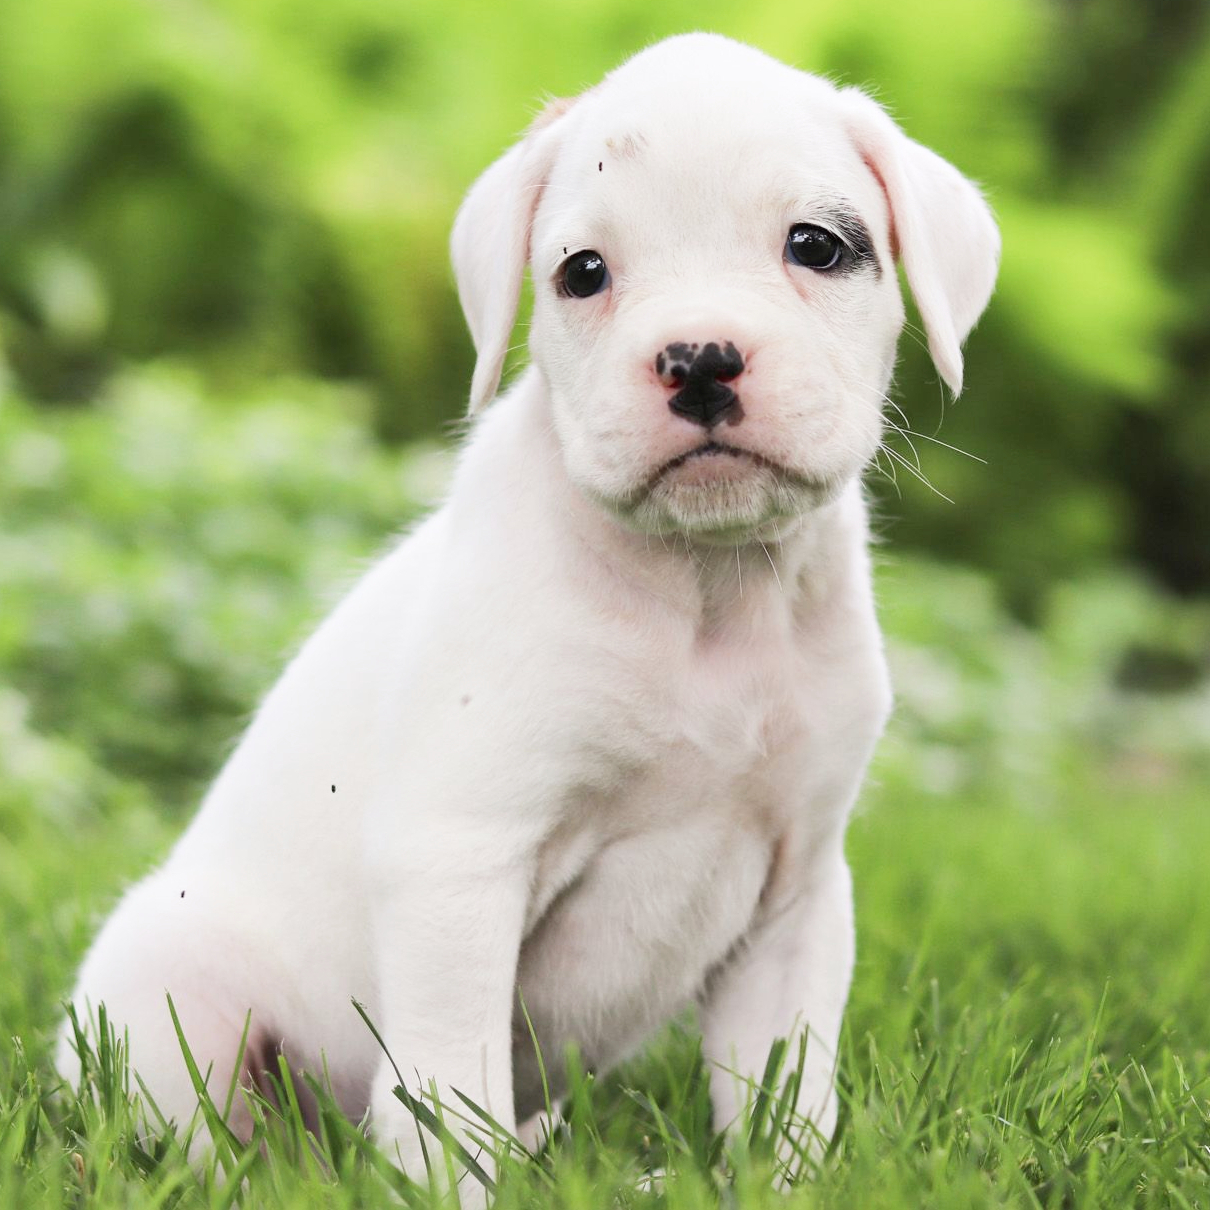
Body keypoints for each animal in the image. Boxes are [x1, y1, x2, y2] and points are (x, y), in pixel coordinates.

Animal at [56, 33, 997, 1185]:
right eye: (582, 273)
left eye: (816, 246)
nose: (698, 359)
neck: (704, 594)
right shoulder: (459, 866)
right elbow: (449, 1099)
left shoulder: (796, 900)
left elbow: (785, 1098)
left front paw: (787, 1183)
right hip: (165, 992)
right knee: (225, 1137)